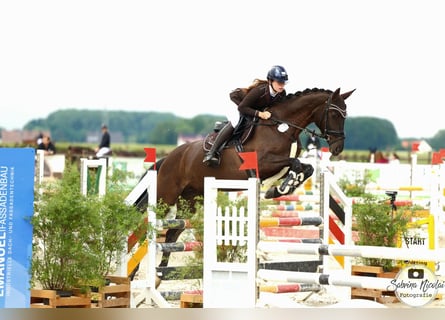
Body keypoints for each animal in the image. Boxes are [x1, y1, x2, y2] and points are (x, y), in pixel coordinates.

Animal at [135, 87, 354, 270]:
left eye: (345, 115)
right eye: (334, 114)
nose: (337, 148)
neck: (282, 127)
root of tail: (168, 157)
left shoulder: (279, 165)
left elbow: (305, 167)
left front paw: (280, 188)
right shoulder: (263, 163)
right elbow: (296, 163)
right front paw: (281, 188)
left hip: (191, 200)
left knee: (173, 232)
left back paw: (161, 271)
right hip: (165, 195)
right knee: (147, 223)